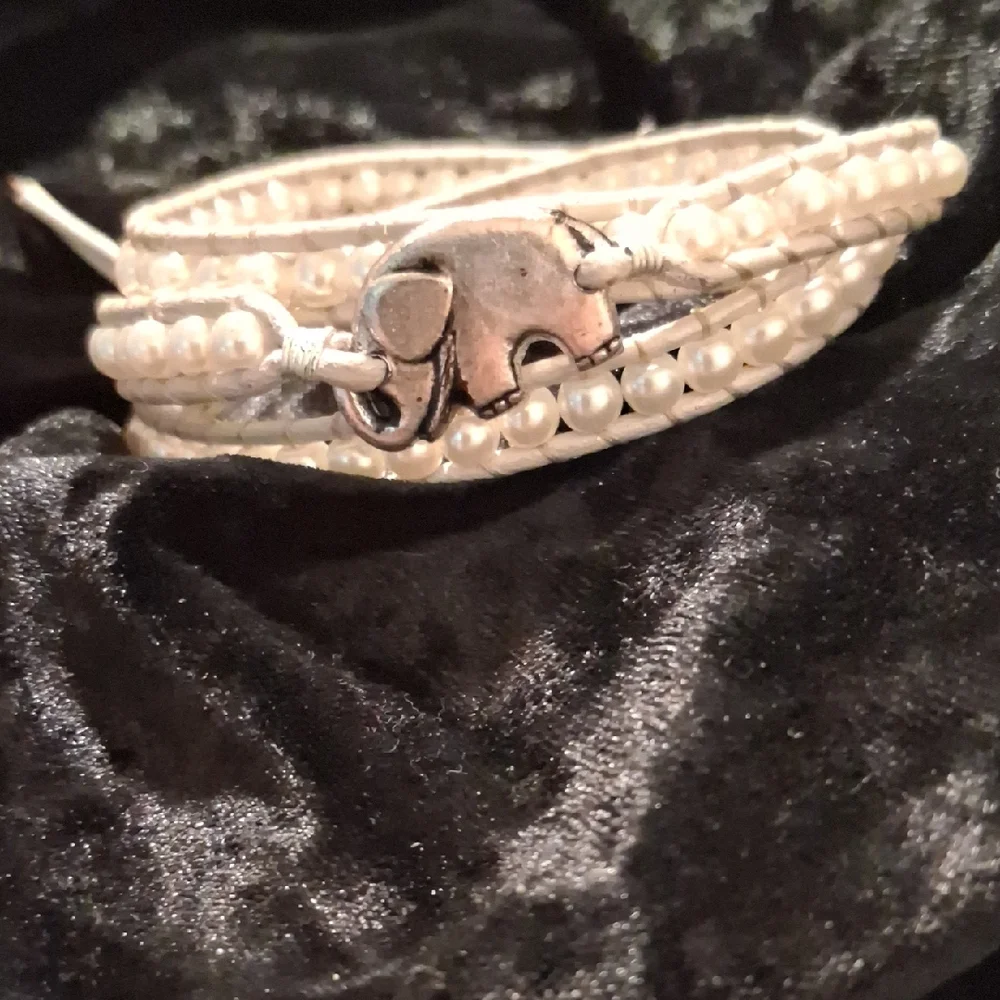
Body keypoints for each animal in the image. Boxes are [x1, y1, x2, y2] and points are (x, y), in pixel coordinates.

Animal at [333, 208, 623, 452]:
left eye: (384, 357)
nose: (336, 340)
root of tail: (564, 223)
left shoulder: (471, 322)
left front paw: (501, 404)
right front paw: (501, 404)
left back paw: (599, 354)